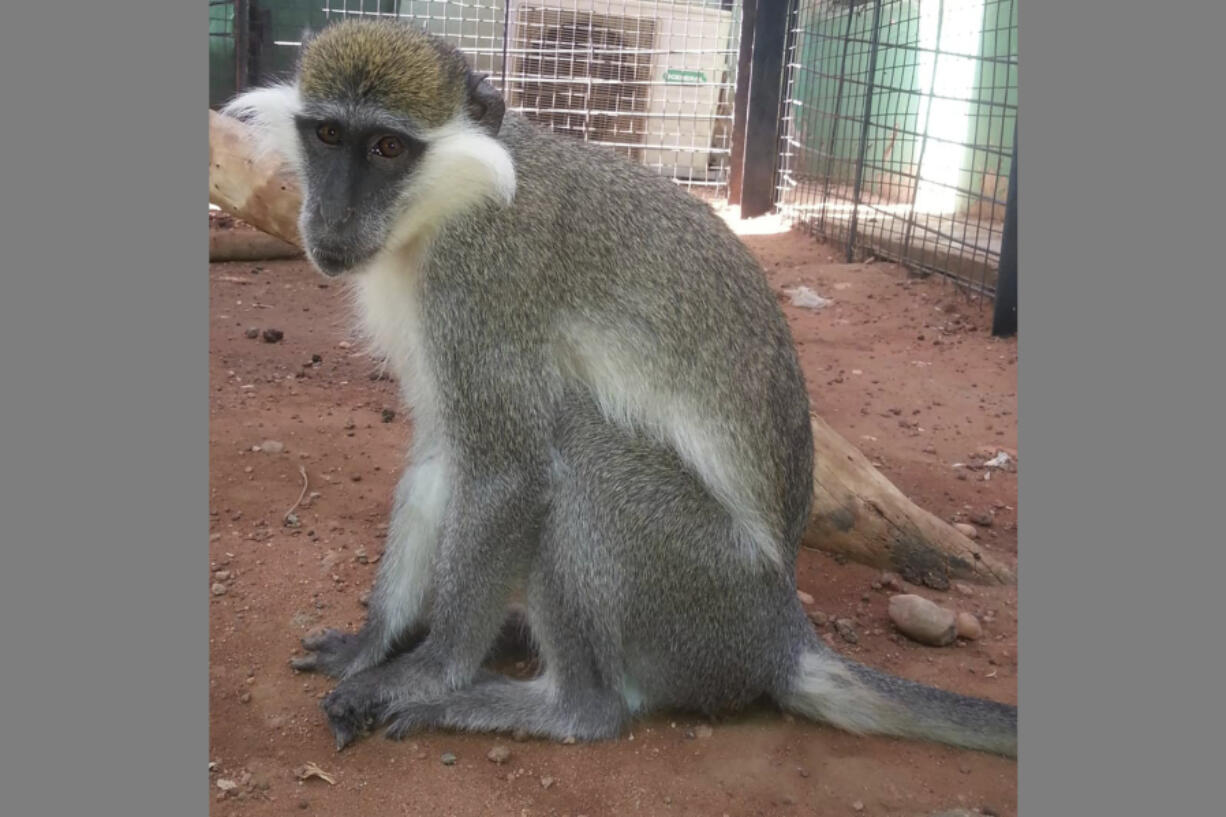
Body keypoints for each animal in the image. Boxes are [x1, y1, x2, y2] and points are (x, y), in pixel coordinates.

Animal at [223, 19, 1015, 755]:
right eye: (328, 134)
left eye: (388, 148)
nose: (333, 219)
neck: (445, 205)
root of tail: (780, 640)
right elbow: (444, 452)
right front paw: (373, 643)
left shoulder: (480, 277)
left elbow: (508, 470)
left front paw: (423, 672)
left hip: (700, 592)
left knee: (581, 459)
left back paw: (553, 704)